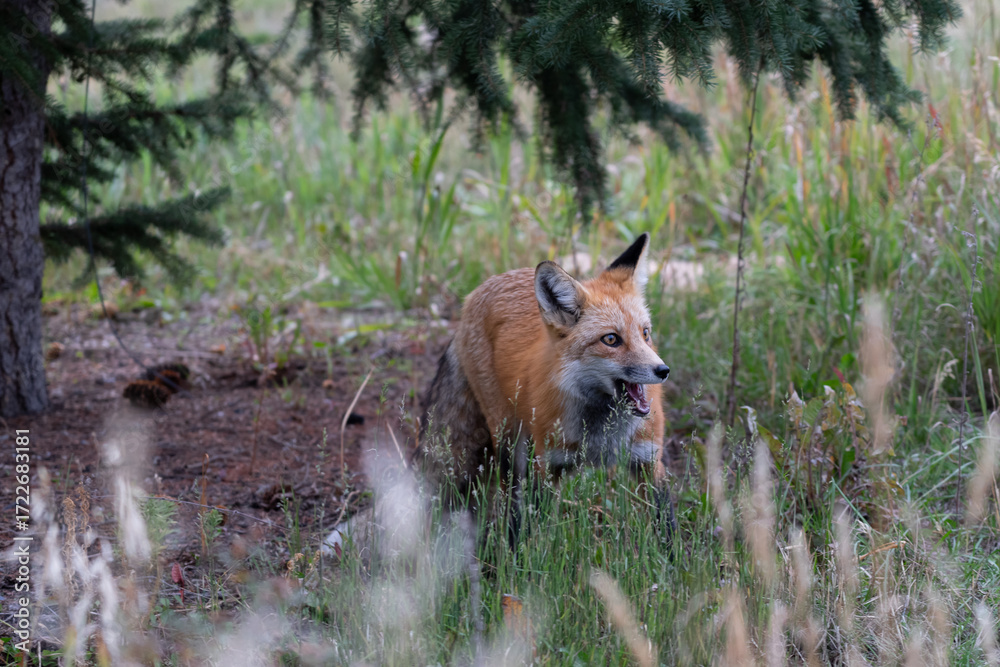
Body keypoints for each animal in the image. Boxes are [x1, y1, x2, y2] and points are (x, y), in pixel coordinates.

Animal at [416, 233, 673, 536]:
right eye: (611, 340)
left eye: (645, 334)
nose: (663, 371)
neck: (601, 438)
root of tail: (476, 293)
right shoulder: (548, 465)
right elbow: (533, 529)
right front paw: (522, 550)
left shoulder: (649, 460)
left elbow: (666, 528)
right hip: (509, 442)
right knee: (510, 499)